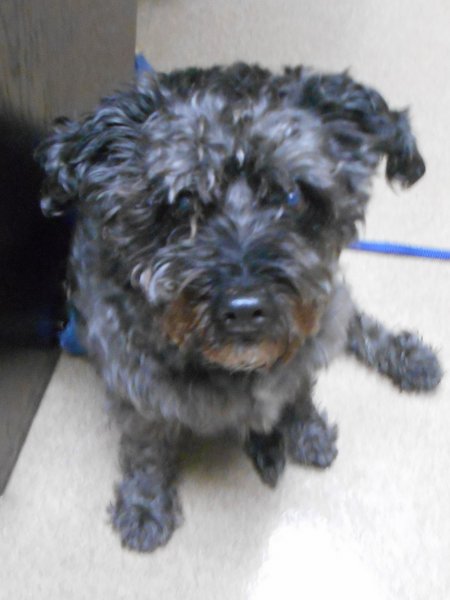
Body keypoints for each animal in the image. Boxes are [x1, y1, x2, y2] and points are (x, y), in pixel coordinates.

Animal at [37, 63, 442, 552]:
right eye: (182, 203)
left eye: (293, 196)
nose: (246, 309)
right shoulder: (135, 387)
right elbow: (145, 450)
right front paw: (145, 505)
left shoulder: (305, 340)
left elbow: (300, 390)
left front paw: (305, 430)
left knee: (353, 320)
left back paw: (408, 357)